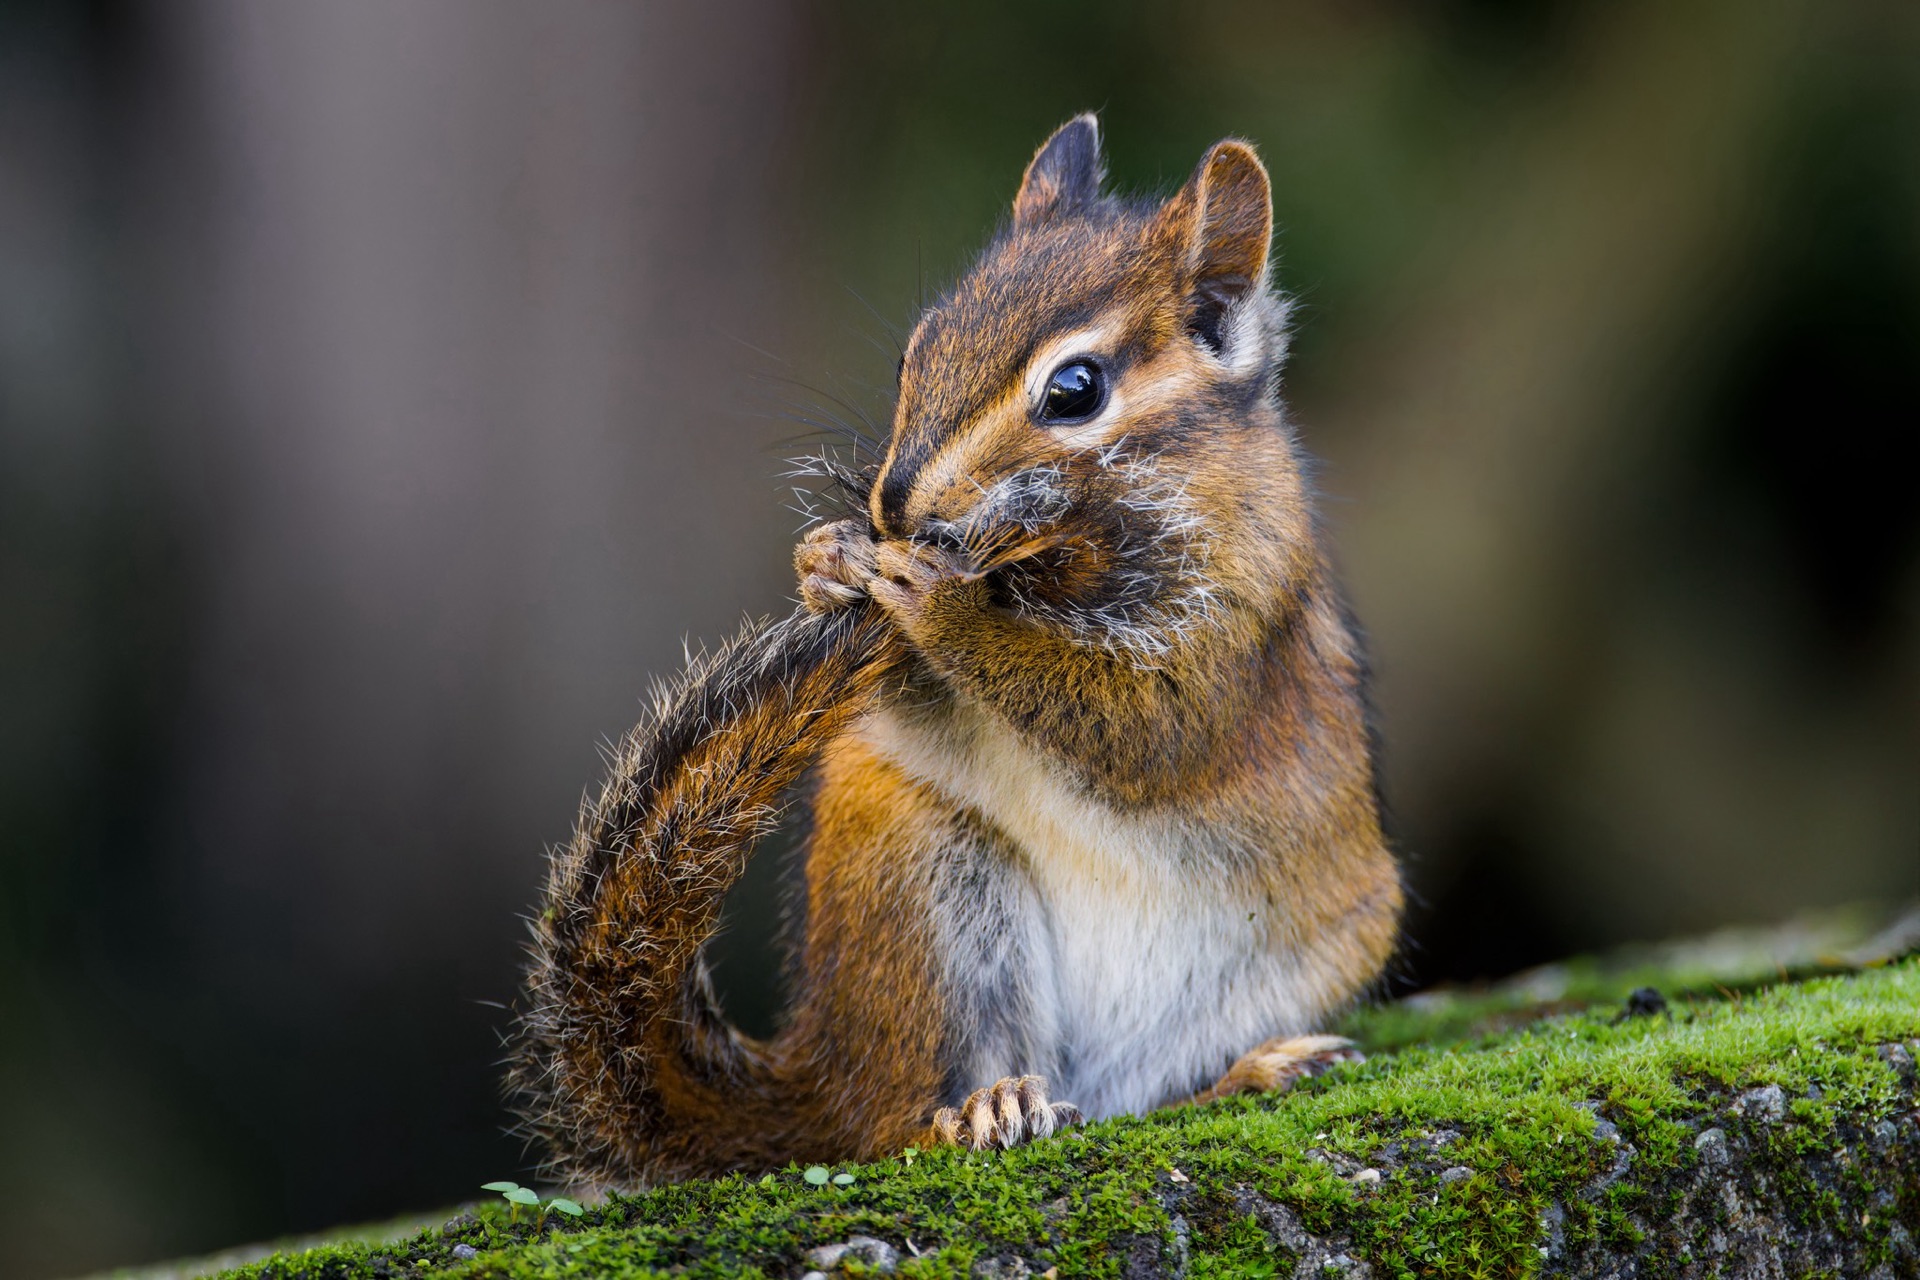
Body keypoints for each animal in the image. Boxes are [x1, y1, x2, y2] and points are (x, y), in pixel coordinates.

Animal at [507, 114, 1403, 1189]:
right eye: (918, 348)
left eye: (1075, 389)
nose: (893, 504)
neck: (1050, 562)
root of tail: (821, 1075)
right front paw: (827, 559)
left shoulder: (1230, 623)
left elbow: (1141, 724)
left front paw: (942, 603)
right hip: (932, 888)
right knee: (905, 1121)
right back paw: (983, 1108)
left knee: (1124, 1102)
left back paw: (1251, 1069)